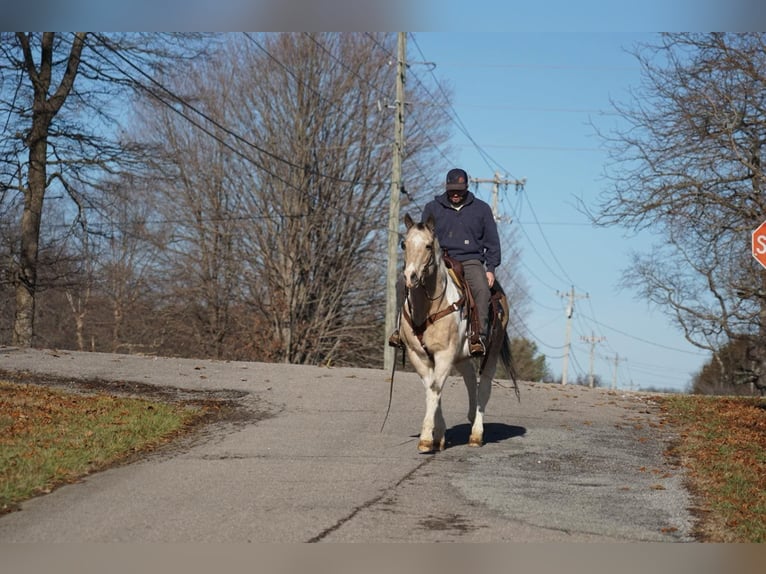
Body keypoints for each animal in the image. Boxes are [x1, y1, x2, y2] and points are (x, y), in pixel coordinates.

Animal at [398, 212, 517, 453]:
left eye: (428, 245)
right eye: (404, 244)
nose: (410, 277)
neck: (428, 308)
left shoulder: (444, 354)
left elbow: (435, 389)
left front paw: (426, 439)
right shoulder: (419, 356)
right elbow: (431, 390)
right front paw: (438, 435)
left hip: (491, 351)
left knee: (484, 387)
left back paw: (476, 434)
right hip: (462, 356)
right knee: (470, 379)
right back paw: (470, 417)